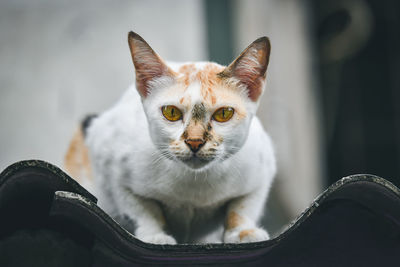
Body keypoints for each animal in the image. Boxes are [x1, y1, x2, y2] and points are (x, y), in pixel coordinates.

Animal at [64, 31, 276, 245]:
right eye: (171, 112)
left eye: (224, 114)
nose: (194, 141)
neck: (194, 184)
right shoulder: (111, 168)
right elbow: (143, 210)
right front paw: (154, 236)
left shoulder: (263, 169)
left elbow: (243, 207)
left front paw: (244, 231)